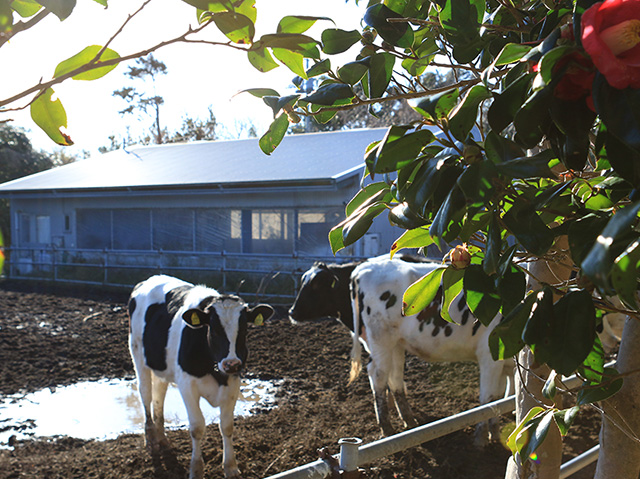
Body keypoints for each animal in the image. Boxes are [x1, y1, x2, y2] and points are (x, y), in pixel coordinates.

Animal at [127, 276, 272, 478]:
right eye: (214, 329)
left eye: (244, 329)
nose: (231, 363)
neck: (214, 369)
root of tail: (150, 279)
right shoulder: (187, 386)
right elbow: (197, 427)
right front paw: (196, 469)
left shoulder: (233, 384)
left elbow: (226, 426)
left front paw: (231, 467)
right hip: (138, 355)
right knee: (145, 393)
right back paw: (151, 439)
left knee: (159, 396)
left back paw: (162, 437)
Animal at [348, 258, 512, 446]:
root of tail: (365, 266)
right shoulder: (489, 355)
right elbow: (487, 400)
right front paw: (481, 439)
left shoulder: (503, 363)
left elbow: (498, 399)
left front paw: (496, 433)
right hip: (381, 339)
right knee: (378, 375)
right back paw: (387, 428)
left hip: (396, 344)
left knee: (395, 377)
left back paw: (409, 422)